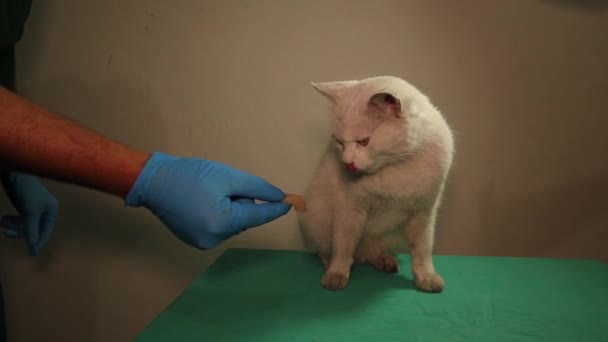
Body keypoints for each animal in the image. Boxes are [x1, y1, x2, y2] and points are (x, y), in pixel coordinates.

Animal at [296, 76, 454, 292]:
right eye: (339, 142)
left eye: (364, 141)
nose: (347, 162)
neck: (396, 167)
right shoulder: (351, 208)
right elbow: (343, 245)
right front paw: (337, 274)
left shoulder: (424, 213)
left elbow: (423, 250)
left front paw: (426, 278)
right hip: (315, 217)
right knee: (327, 248)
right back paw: (331, 263)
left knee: (372, 251)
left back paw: (386, 261)